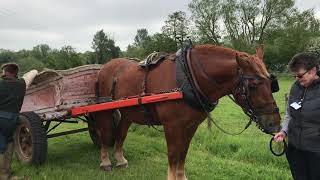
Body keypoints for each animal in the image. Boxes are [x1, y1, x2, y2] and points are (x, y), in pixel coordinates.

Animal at [92, 44, 280, 180]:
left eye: (271, 83)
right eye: (253, 85)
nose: (275, 124)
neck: (189, 77)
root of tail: (106, 66)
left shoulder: (190, 125)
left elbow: (183, 152)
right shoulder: (171, 126)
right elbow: (173, 155)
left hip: (127, 112)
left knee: (121, 133)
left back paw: (120, 159)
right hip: (105, 110)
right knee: (105, 132)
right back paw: (105, 161)